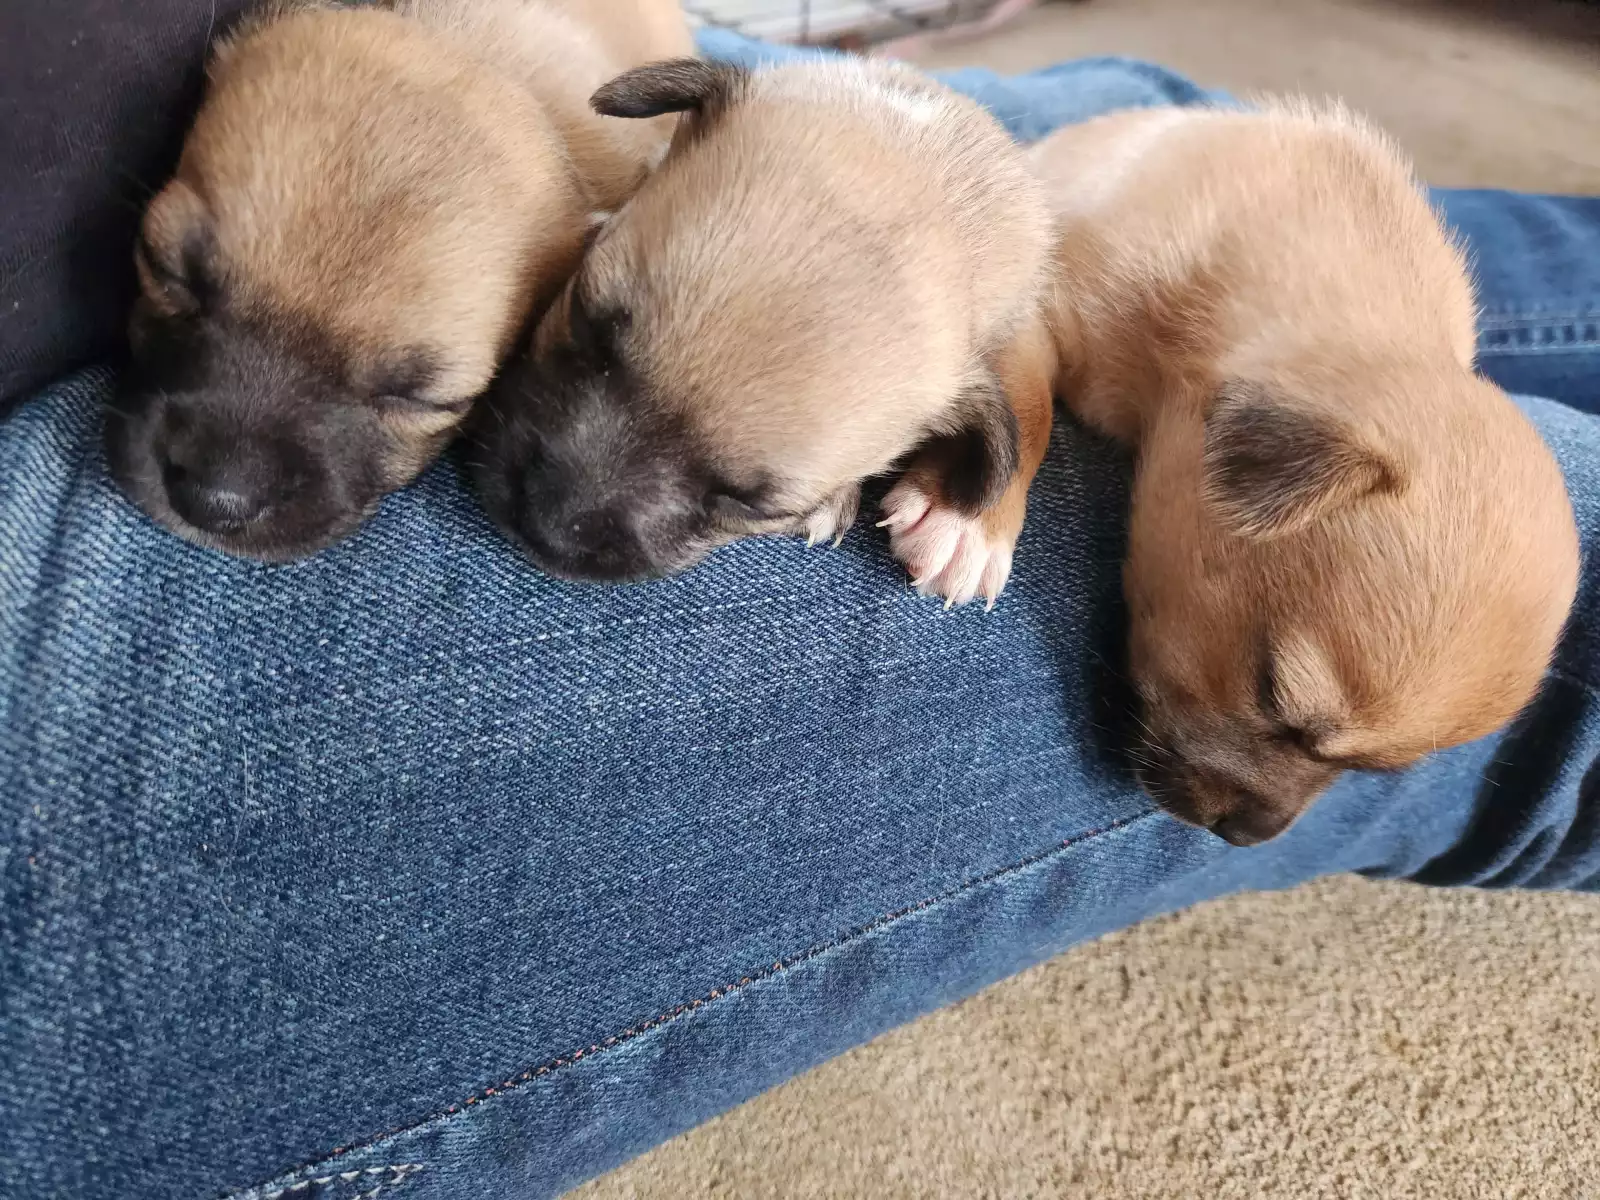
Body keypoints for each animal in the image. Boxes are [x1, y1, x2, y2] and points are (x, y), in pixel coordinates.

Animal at [471, 56, 1056, 606]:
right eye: (585, 320)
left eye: (747, 504)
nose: (544, 522)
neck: (916, 151)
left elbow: (1029, 409)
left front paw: (970, 526)